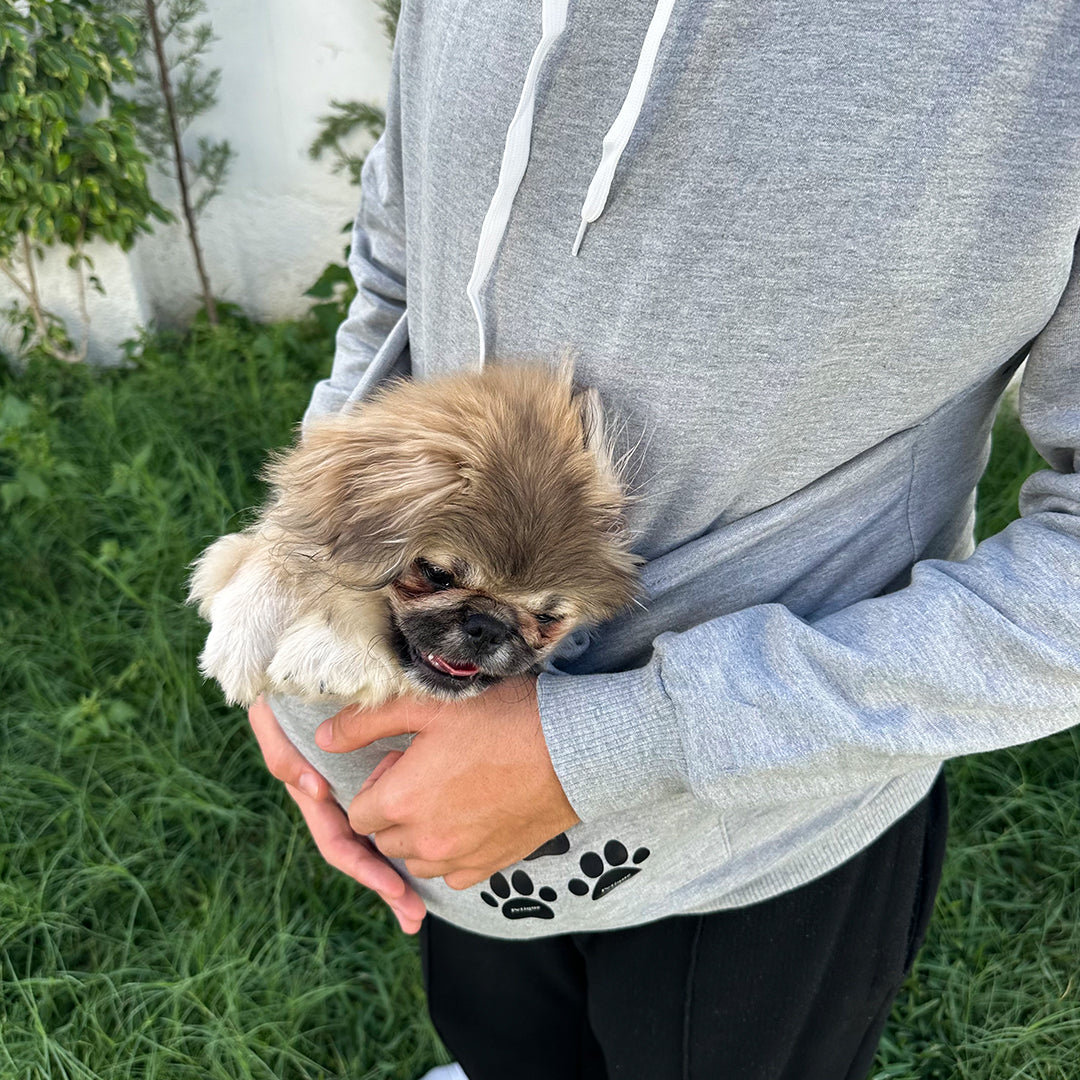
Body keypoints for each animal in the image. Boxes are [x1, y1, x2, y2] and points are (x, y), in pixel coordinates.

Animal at [189, 362, 635, 708]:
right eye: (437, 575)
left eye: (546, 619)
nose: (489, 626)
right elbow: (276, 551)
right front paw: (242, 630)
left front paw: (330, 652)